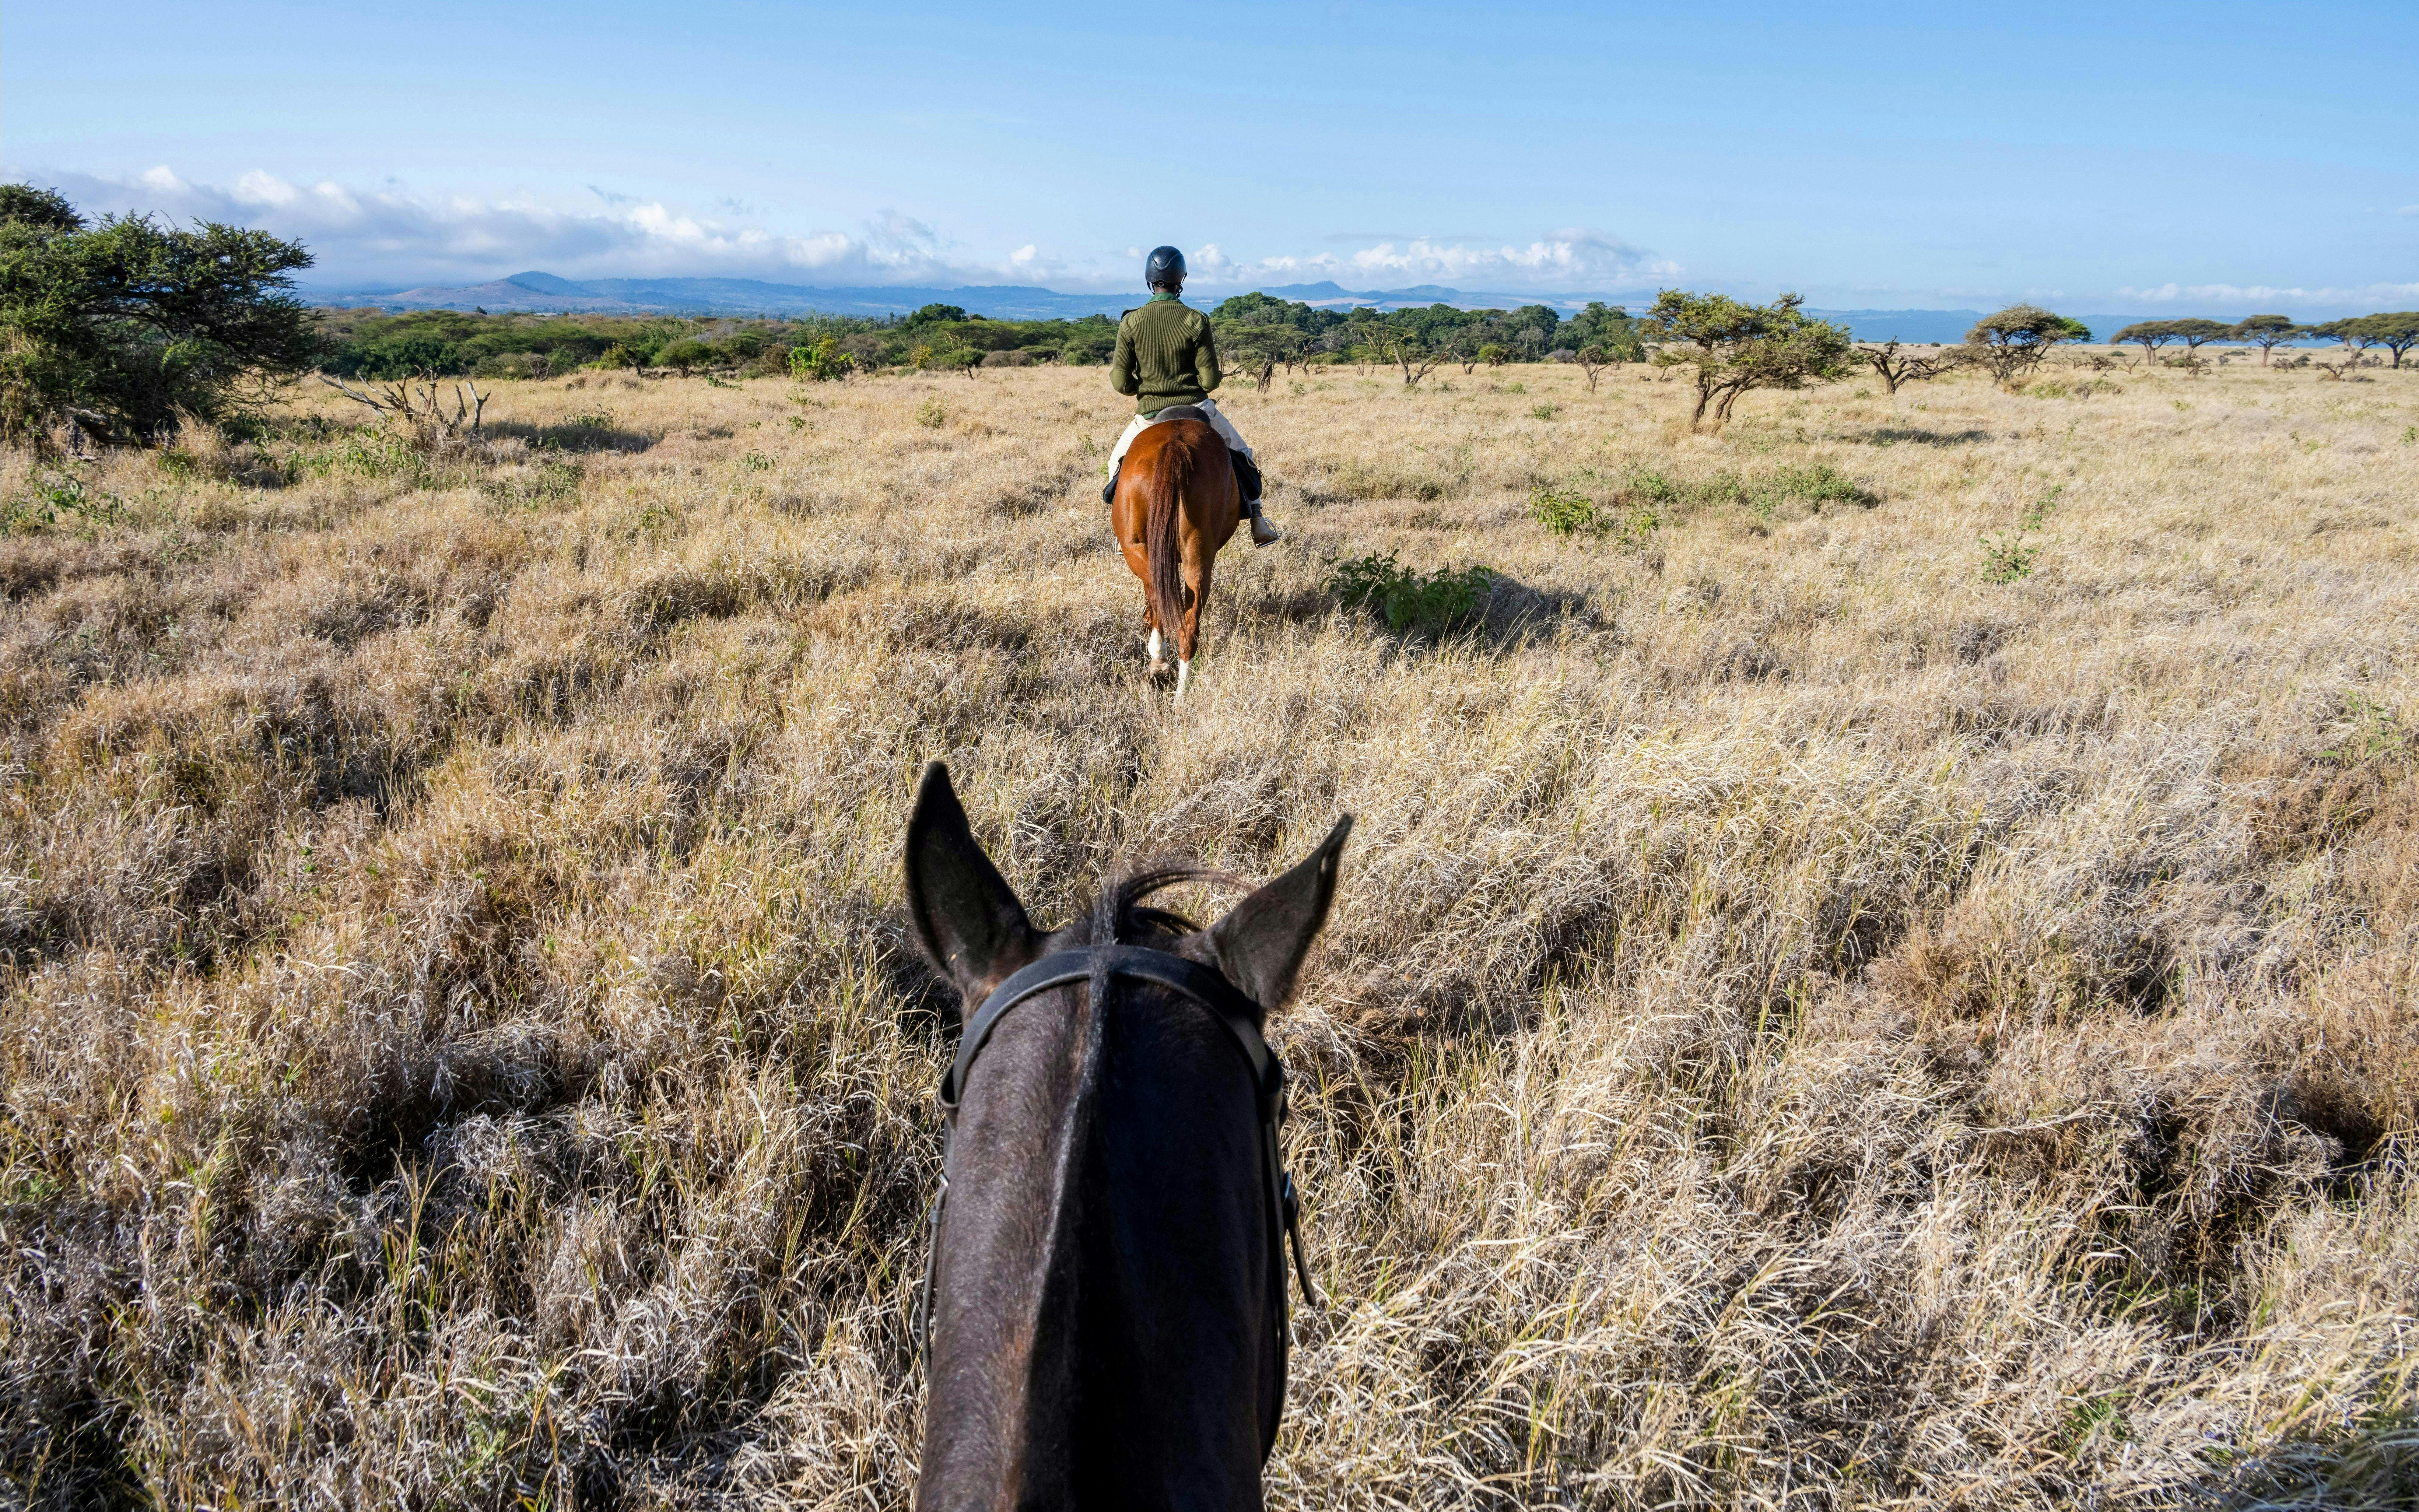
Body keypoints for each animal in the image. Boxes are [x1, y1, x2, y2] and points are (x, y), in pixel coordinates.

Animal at [1110, 413, 1241, 700]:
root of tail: (1175, 445)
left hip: (1138, 551)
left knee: (1159, 599)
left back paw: (1159, 664)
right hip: (1196, 557)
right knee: (1188, 627)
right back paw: (1180, 696)